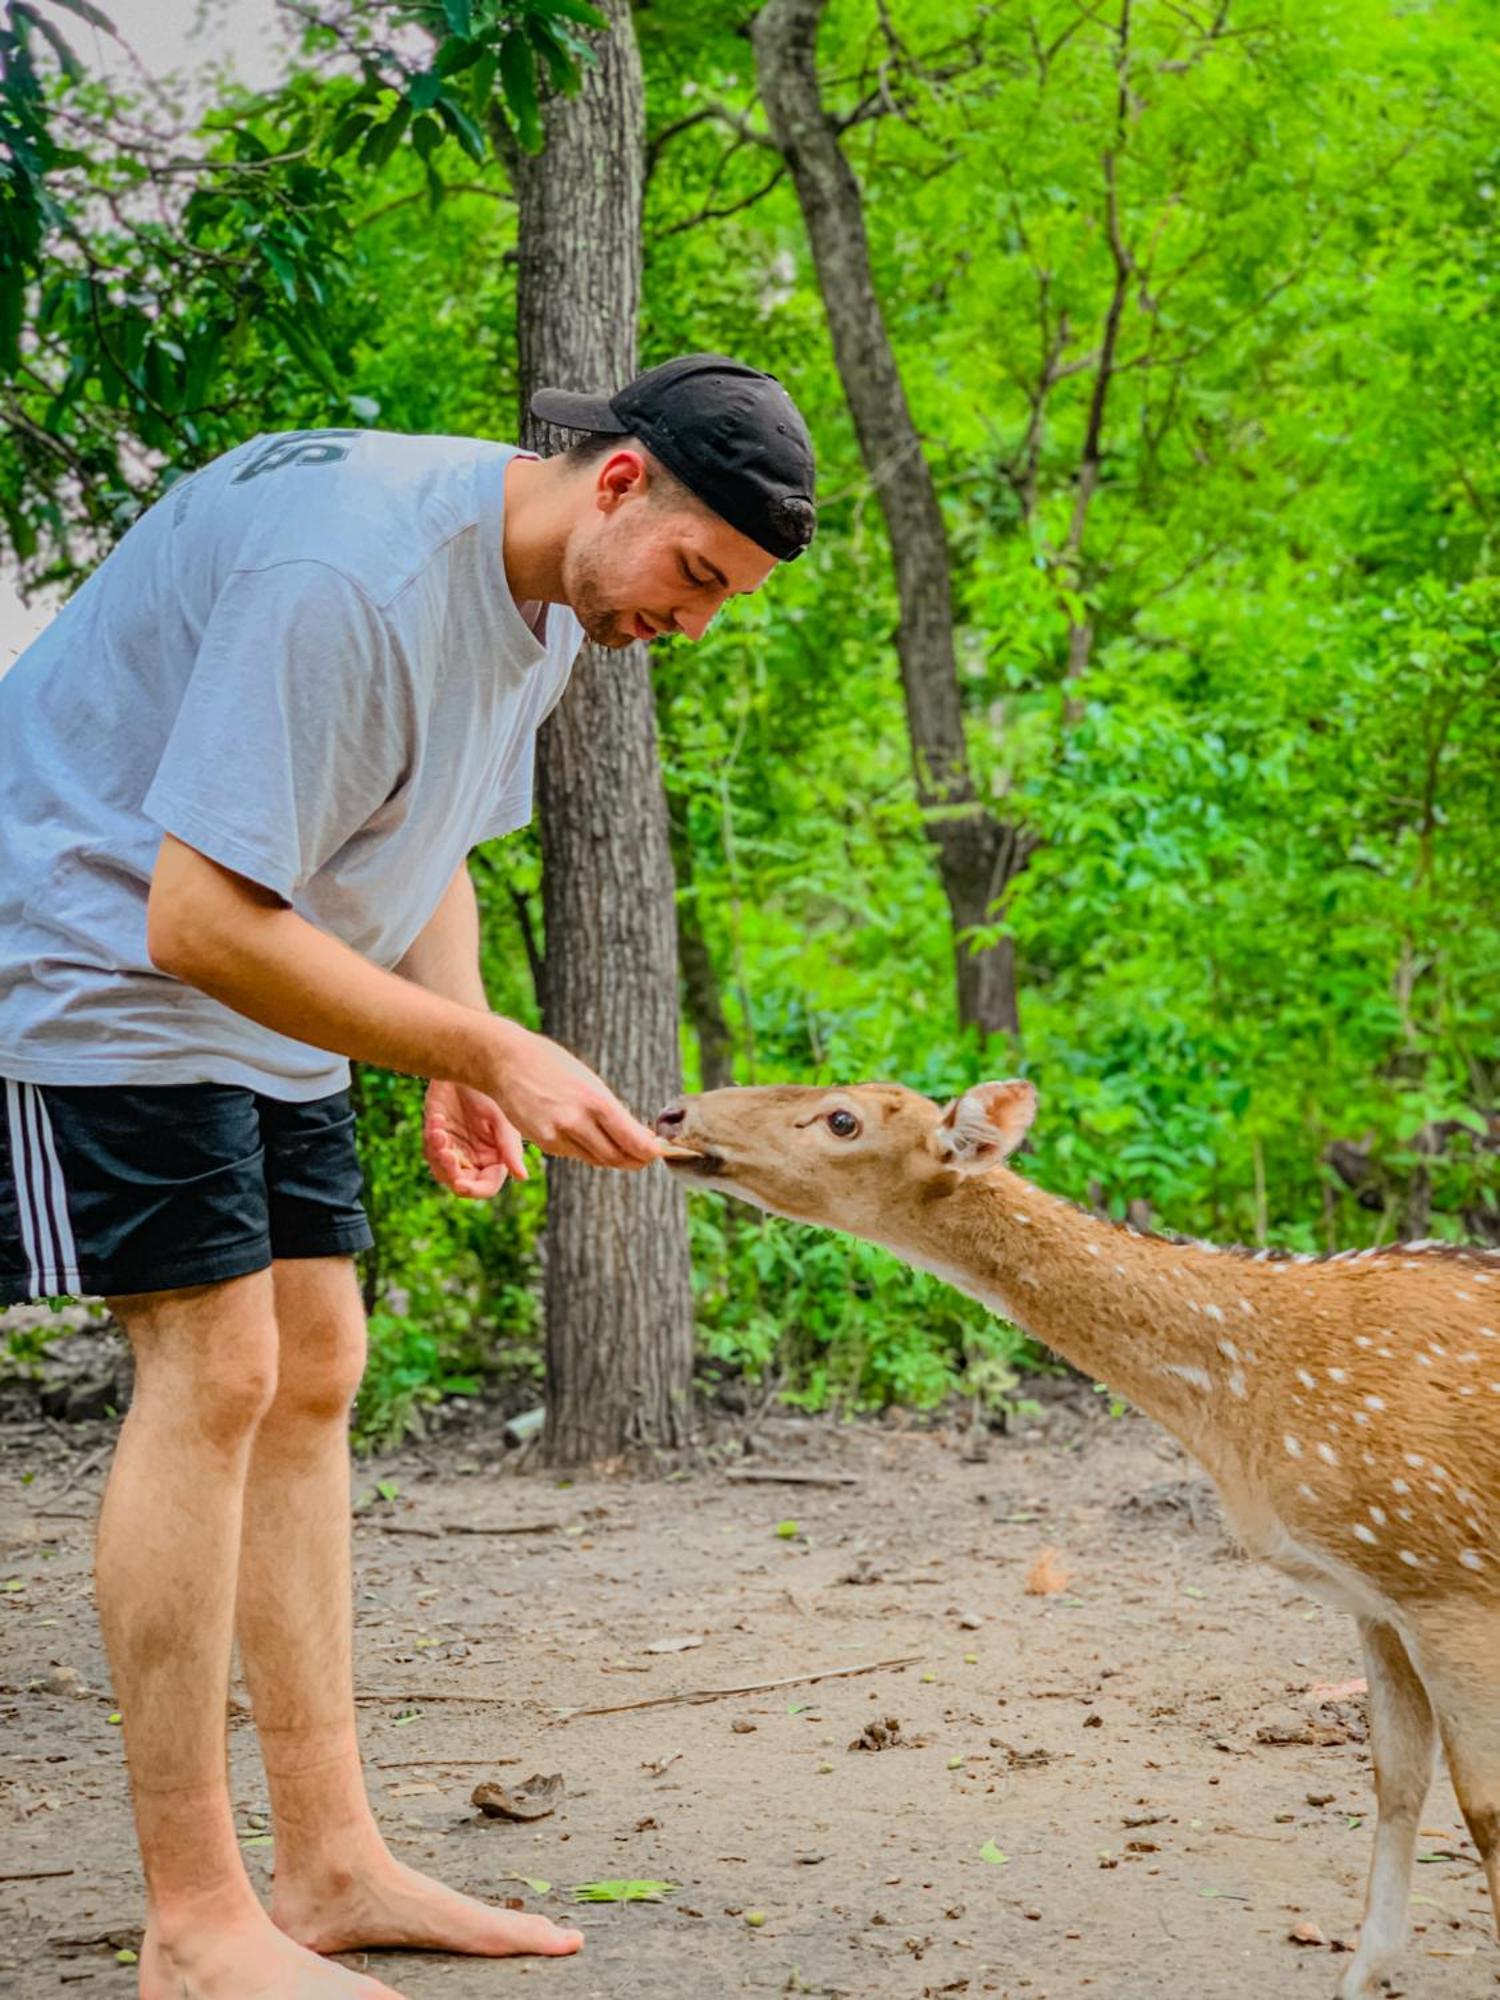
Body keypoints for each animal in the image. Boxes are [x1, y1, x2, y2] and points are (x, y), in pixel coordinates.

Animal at [656, 1080, 1500, 2000]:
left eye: (844, 1118)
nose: (673, 1113)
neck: (1240, 1413)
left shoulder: (1445, 1575)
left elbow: (1483, 1809)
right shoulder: (1375, 1594)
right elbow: (1396, 1779)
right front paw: (1361, 1973)